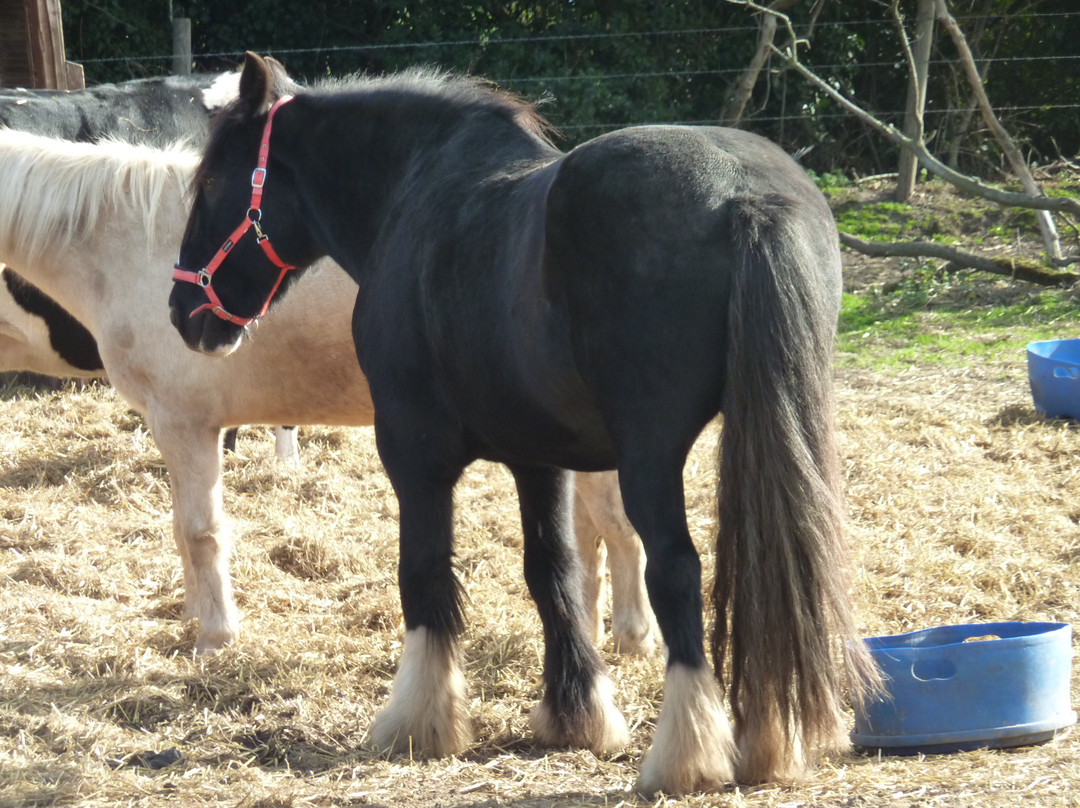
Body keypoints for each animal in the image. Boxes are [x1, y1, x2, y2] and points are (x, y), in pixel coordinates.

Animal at [0, 128, 656, 656]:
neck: (125, 248)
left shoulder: (185, 424)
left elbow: (200, 531)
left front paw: (215, 637)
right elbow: (185, 532)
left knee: (622, 531)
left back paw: (634, 636)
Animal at [166, 52, 876, 795]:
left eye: (211, 181)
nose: (185, 312)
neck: (415, 194)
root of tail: (742, 196)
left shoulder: (413, 451)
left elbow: (424, 572)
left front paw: (419, 720)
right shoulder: (541, 457)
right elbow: (552, 570)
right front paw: (576, 714)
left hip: (650, 455)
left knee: (676, 570)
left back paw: (683, 757)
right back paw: (770, 741)